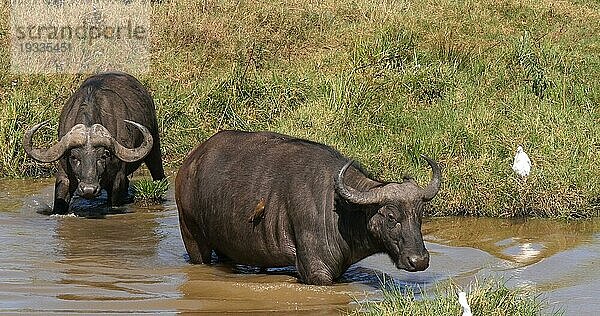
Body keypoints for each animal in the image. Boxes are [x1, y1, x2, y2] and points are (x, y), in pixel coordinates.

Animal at [23, 71, 165, 215]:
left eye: (103, 156)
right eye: (74, 157)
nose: (89, 190)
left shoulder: (118, 179)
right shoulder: (64, 175)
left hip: (154, 145)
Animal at [175, 131, 440, 286]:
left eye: (419, 215)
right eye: (390, 216)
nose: (419, 261)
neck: (339, 210)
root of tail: (189, 163)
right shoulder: (316, 271)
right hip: (193, 238)